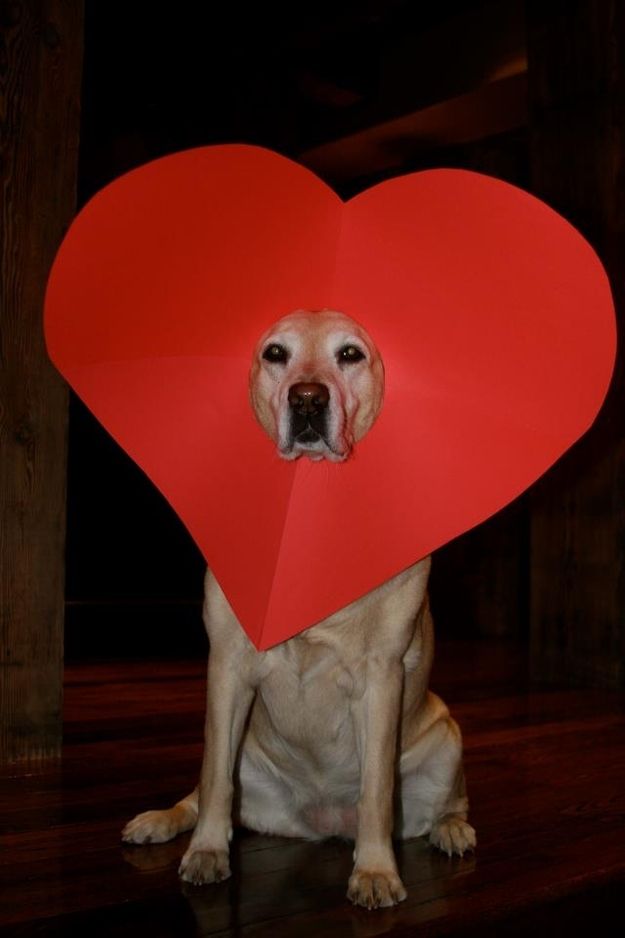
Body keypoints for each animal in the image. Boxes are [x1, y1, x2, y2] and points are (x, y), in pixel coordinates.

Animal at [120, 308, 472, 908]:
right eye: (275, 353)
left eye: (350, 354)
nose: (307, 399)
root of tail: (323, 822)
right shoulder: (228, 668)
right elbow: (215, 779)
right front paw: (206, 852)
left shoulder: (380, 678)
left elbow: (376, 789)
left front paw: (375, 872)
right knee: (200, 790)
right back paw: (160, 821)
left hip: (446, 739)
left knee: (450, 801)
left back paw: (452, 830)